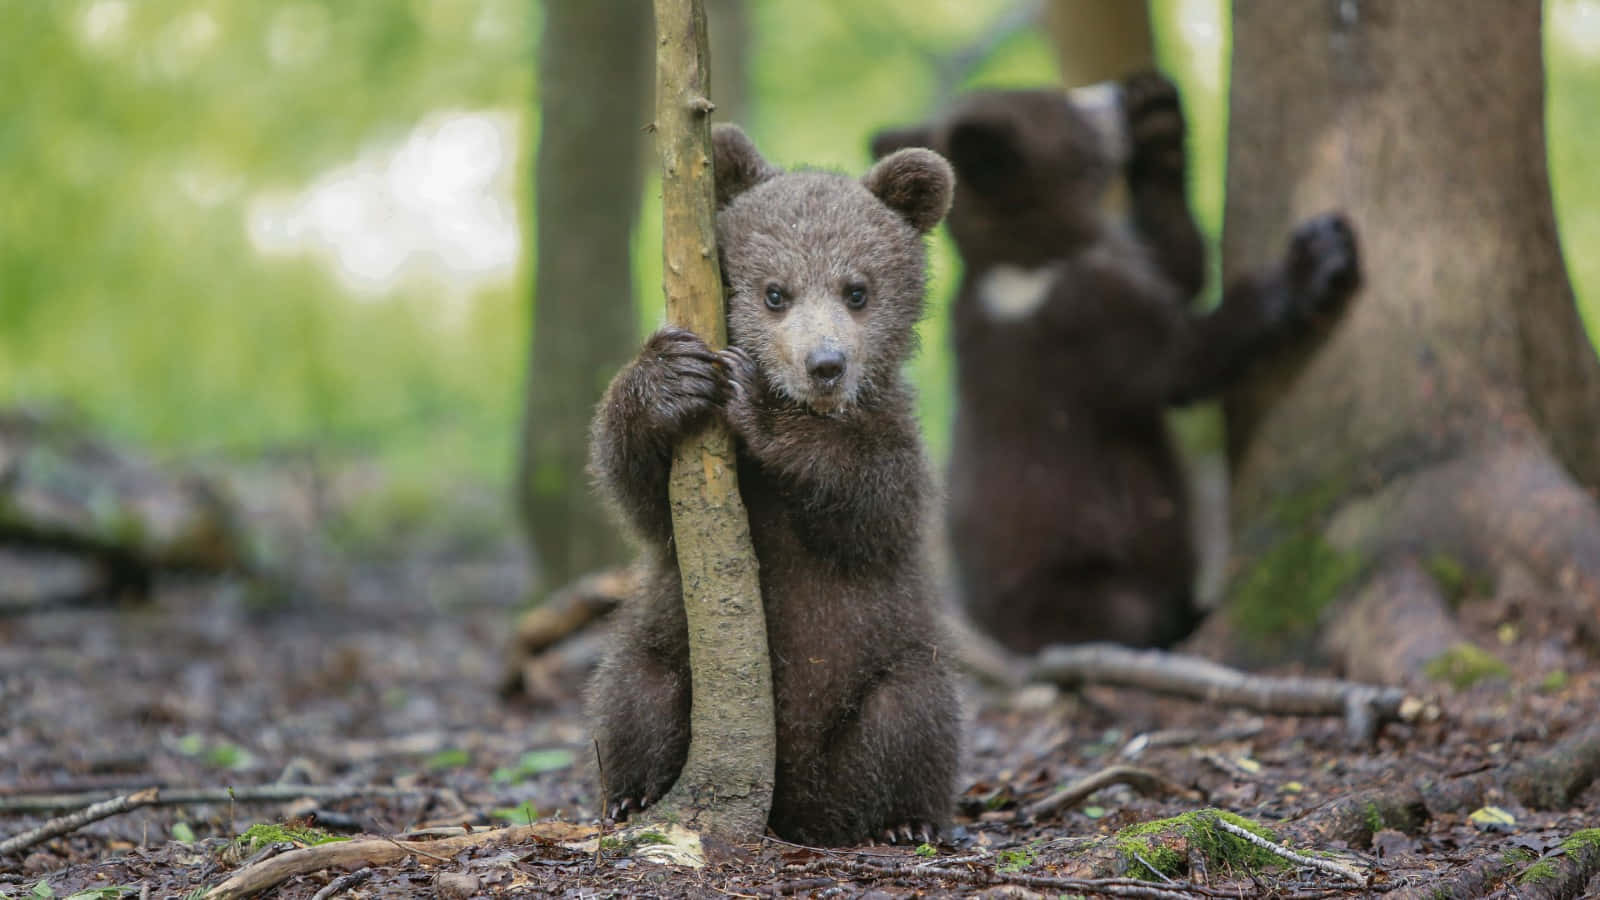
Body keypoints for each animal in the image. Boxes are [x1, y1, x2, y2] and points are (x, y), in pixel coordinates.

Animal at [585, 124, 961, 847]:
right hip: (667, 645)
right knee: (634, 690)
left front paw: (757, 403)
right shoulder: (682, 503)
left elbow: (870, 503)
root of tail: (796, 808)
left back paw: (903, 821)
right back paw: (633, 796)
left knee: (912, 714)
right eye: (775, 292)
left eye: (857, 290)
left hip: (890, 661)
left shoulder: (897, 442)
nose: (825, 364)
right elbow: (638, 493)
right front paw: (669, 376)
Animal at [871, 71, 1361, 654]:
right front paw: (1318, 256)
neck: (1034, 259)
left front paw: (1158, 116)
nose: (1114, 94)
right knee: (1127, 616)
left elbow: (1179, 266)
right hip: (1079, 582)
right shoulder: (1081, 324)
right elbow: (1181, 361)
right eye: (1065, 107)